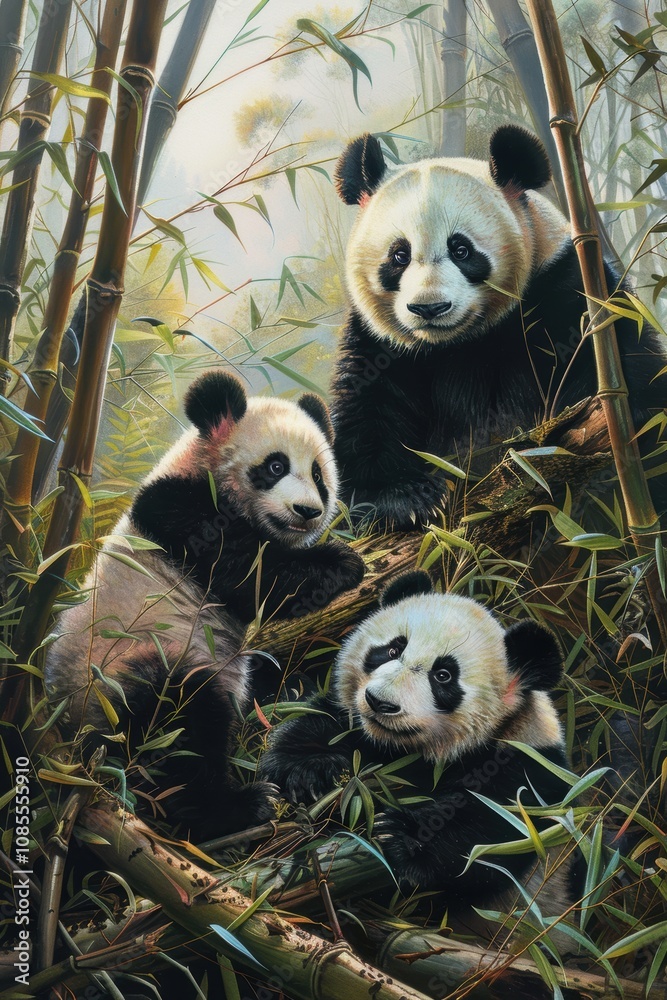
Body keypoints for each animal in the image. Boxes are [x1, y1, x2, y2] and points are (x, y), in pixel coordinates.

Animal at [44, 370, 365, 838]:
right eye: (275, 466)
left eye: (319, 474)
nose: (308, 511)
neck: (199, 467)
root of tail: (62, 727)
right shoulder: (175, 511)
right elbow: (251, 574)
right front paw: (342, 561)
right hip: (127, 669)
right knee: (180, 728)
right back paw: (234, 807)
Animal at [259, 570, 577, 929]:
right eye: (391, 649)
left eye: (444, 675)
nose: (379, 702)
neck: (410, 752)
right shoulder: (356, 731)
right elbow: (314, 728)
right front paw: (307, 771)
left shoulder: (527, 768)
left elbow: (492, 832)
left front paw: (403, 836)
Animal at [331, 125, 667, 528]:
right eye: (400, 255)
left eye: (461, 249)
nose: (430, 308)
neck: (461, 341)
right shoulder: (382, 344)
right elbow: (370, 413)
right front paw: (408, 499)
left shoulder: (562, 289)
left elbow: (626, 357)